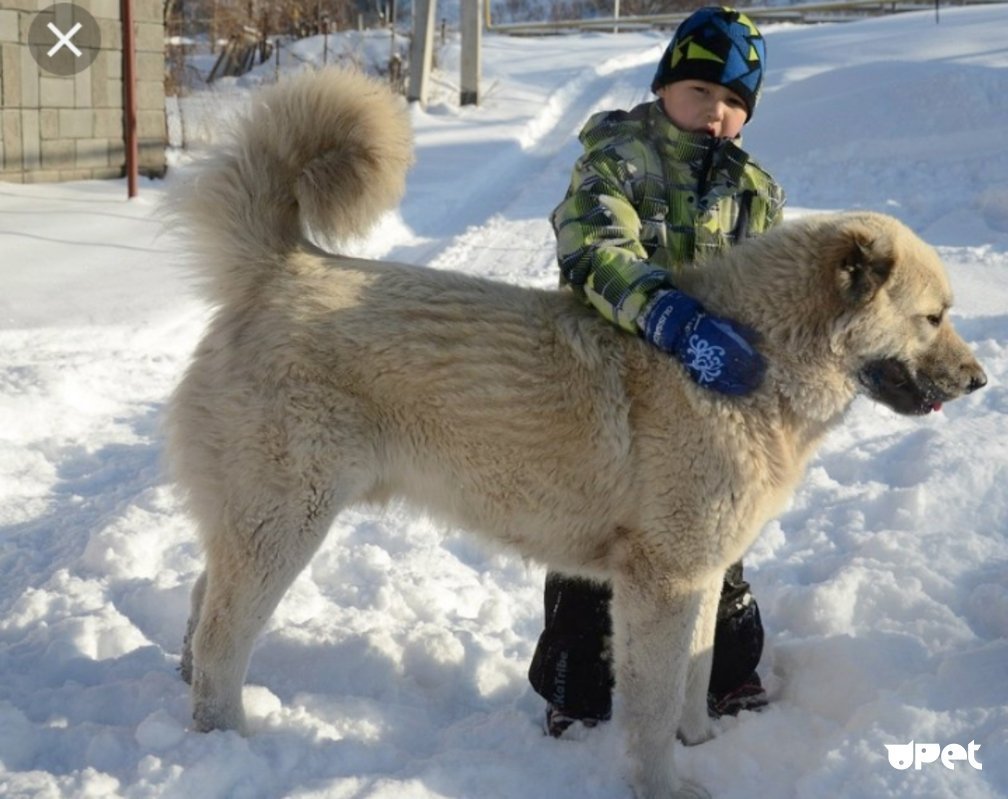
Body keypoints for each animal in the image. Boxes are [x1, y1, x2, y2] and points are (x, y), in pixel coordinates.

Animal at [169, 70, 987, 797]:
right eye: (933, 317)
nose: (981, 380)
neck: (754, 357)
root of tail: (282, 265)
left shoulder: (700, 575)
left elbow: (696, 675)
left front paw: (705, 745)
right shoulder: (661, 580)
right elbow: (653, 707)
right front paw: (664, 787)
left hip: (261, 521)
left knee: (204, 602)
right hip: (287, 520)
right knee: (222, 634)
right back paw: (224, 741)